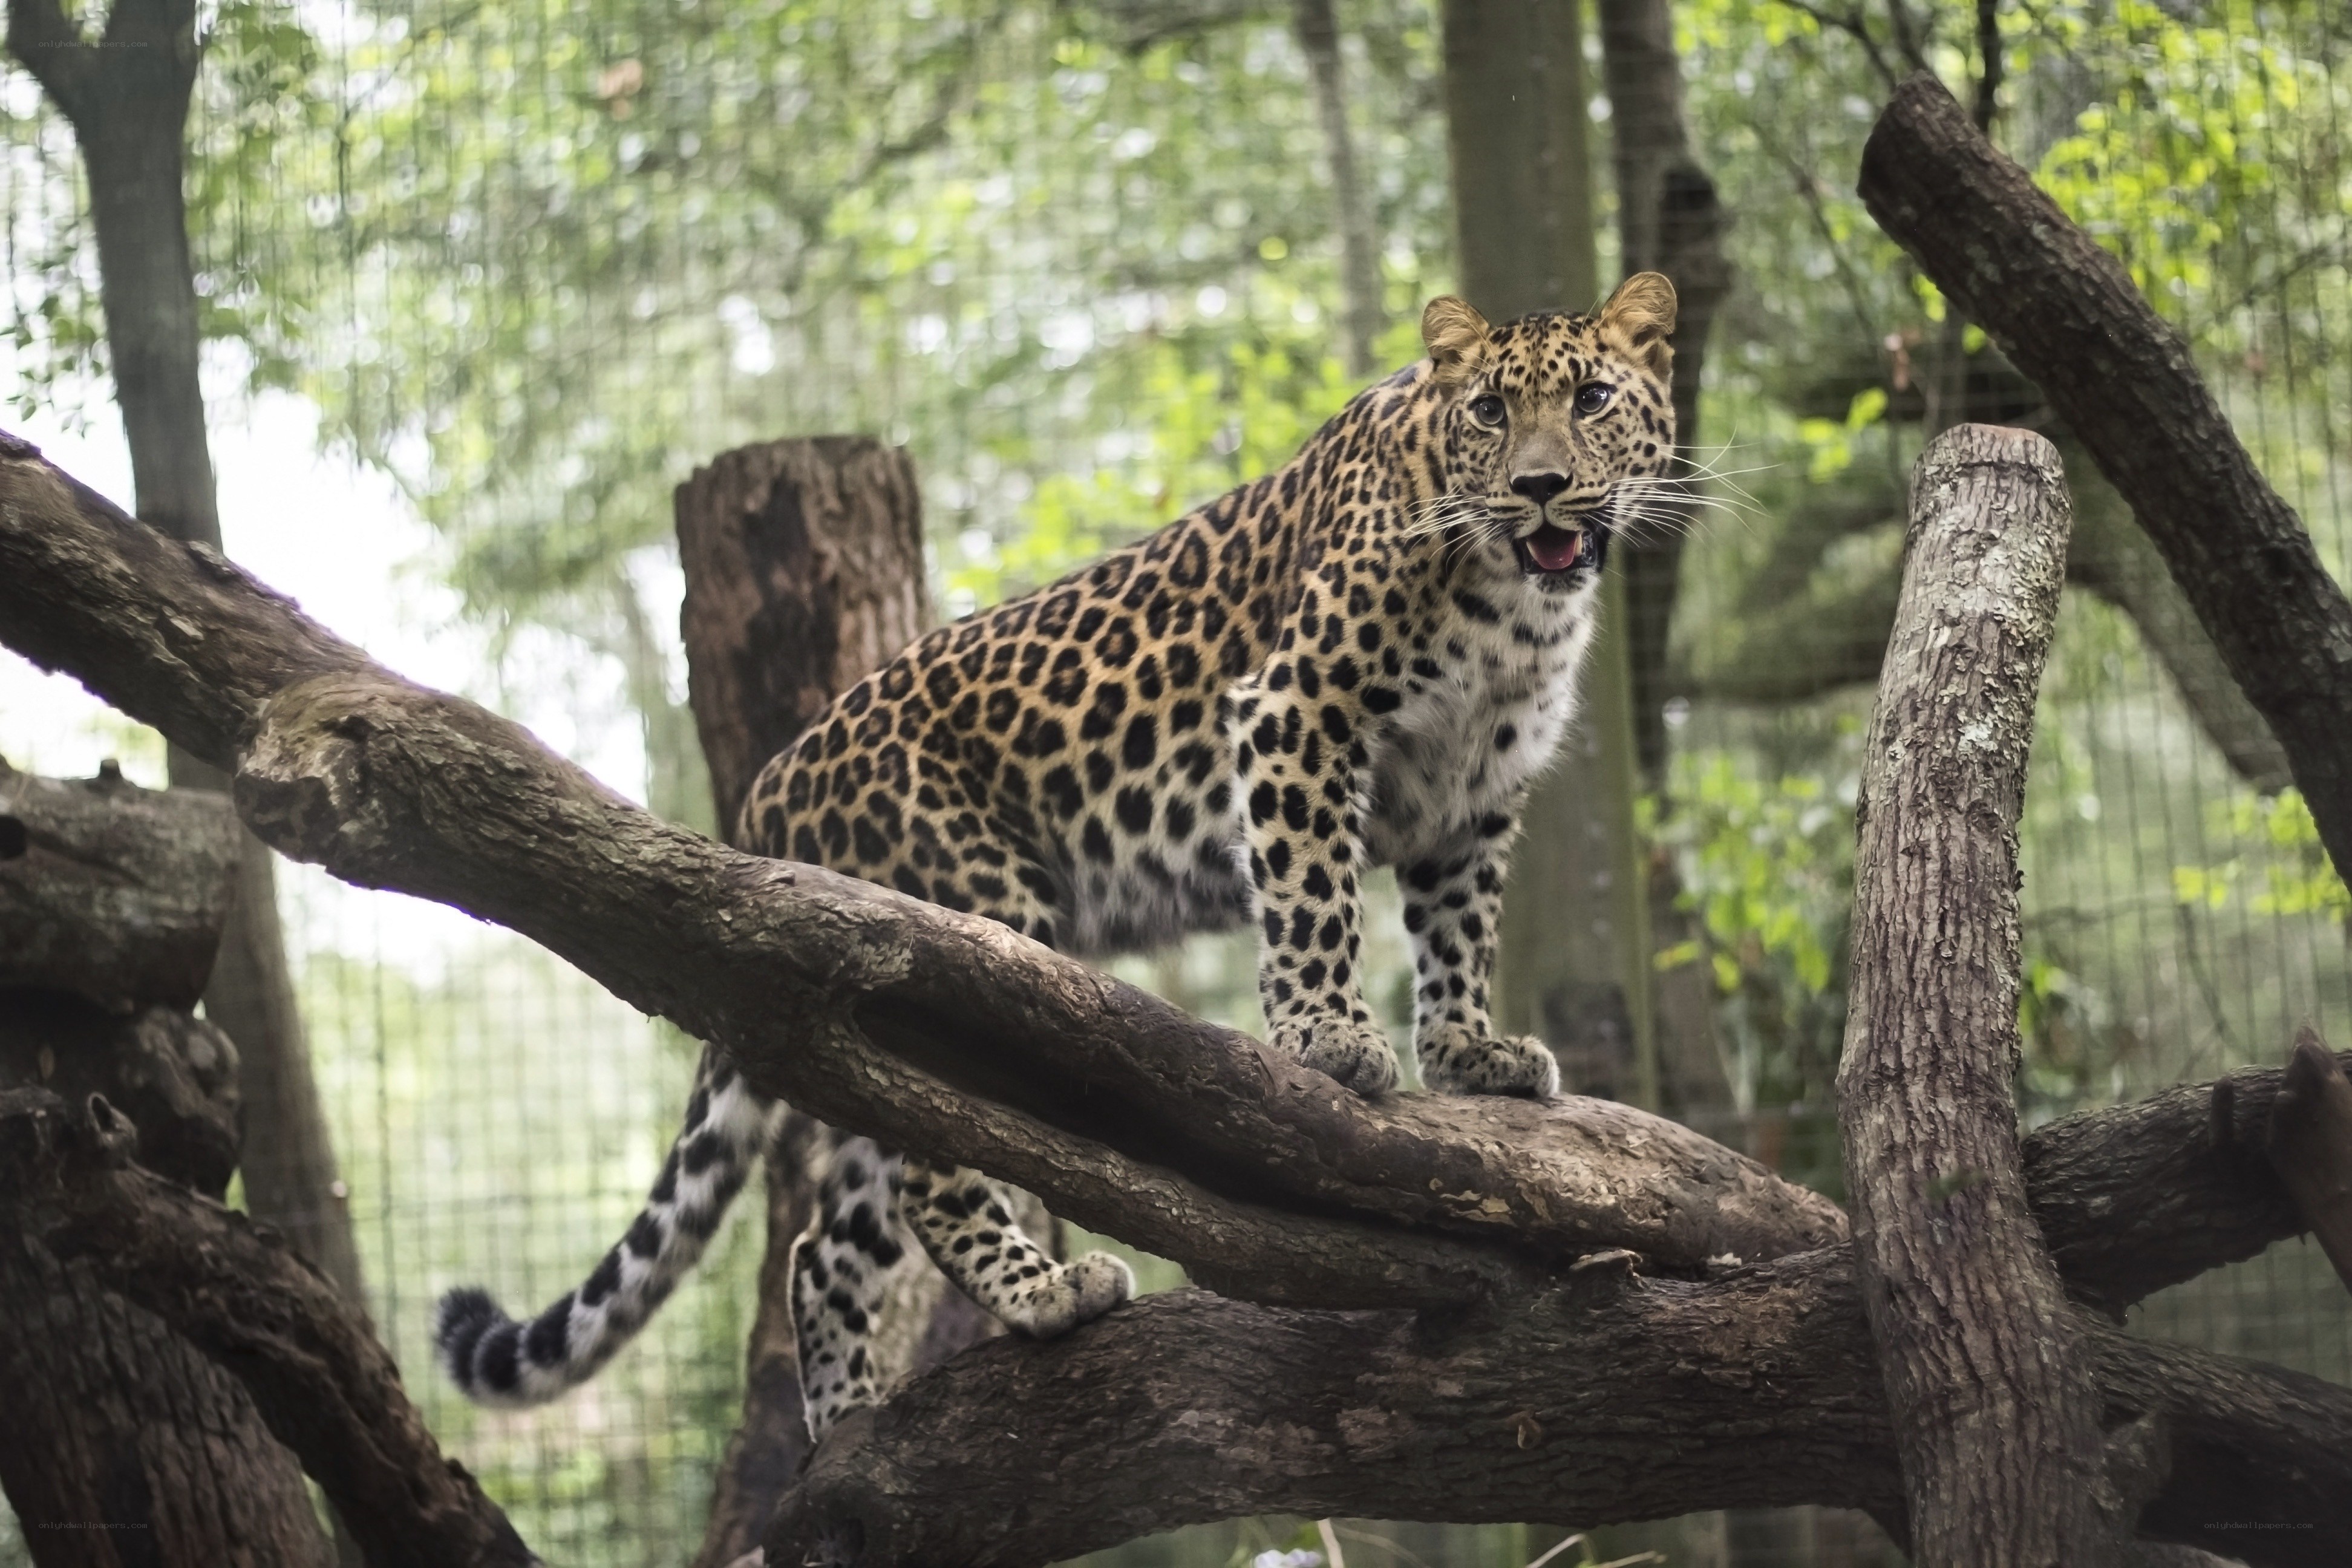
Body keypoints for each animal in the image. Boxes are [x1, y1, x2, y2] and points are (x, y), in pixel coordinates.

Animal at [435, 273, 1681, 1441]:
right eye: (1489, 411)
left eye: (1590, 400)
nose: (1540, 486)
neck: (1518, 611)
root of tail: (768, 799)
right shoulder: (1294, 711)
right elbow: (1313, 889)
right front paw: (1330, 1041)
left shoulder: (1473, 796)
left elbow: (1459, 931)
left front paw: (1469, 1055)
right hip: (966, 934)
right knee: (928, 1172)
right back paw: (1044, 1295)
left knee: (826, 1241)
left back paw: (847, 1428)